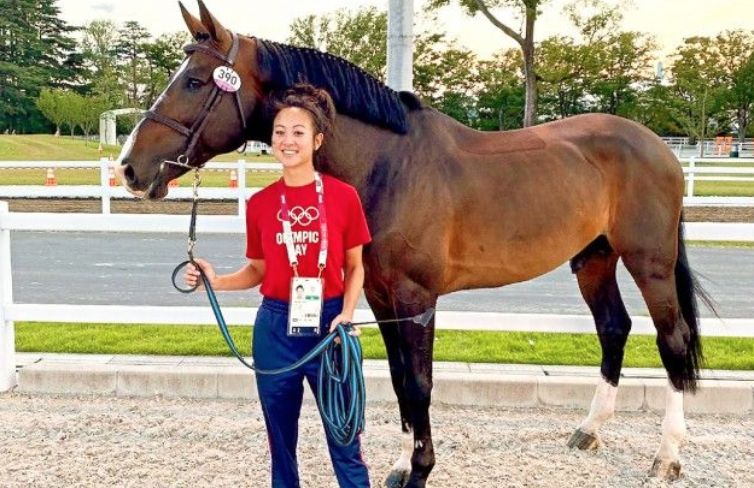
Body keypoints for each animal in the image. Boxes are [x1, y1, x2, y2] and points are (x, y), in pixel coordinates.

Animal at [116, 1, 712, 486]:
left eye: (195, 81)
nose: (129, 167)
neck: (389, 165)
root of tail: (657, 146)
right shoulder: (382, 298)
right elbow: (402, 382)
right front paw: (404, 465)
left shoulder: (415, 299)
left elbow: (421, 383)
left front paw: (421, 470)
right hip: (593, 259)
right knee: (614, 329)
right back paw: (589, 431)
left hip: (649, 262)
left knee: (672, 340)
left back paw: (667, 458)